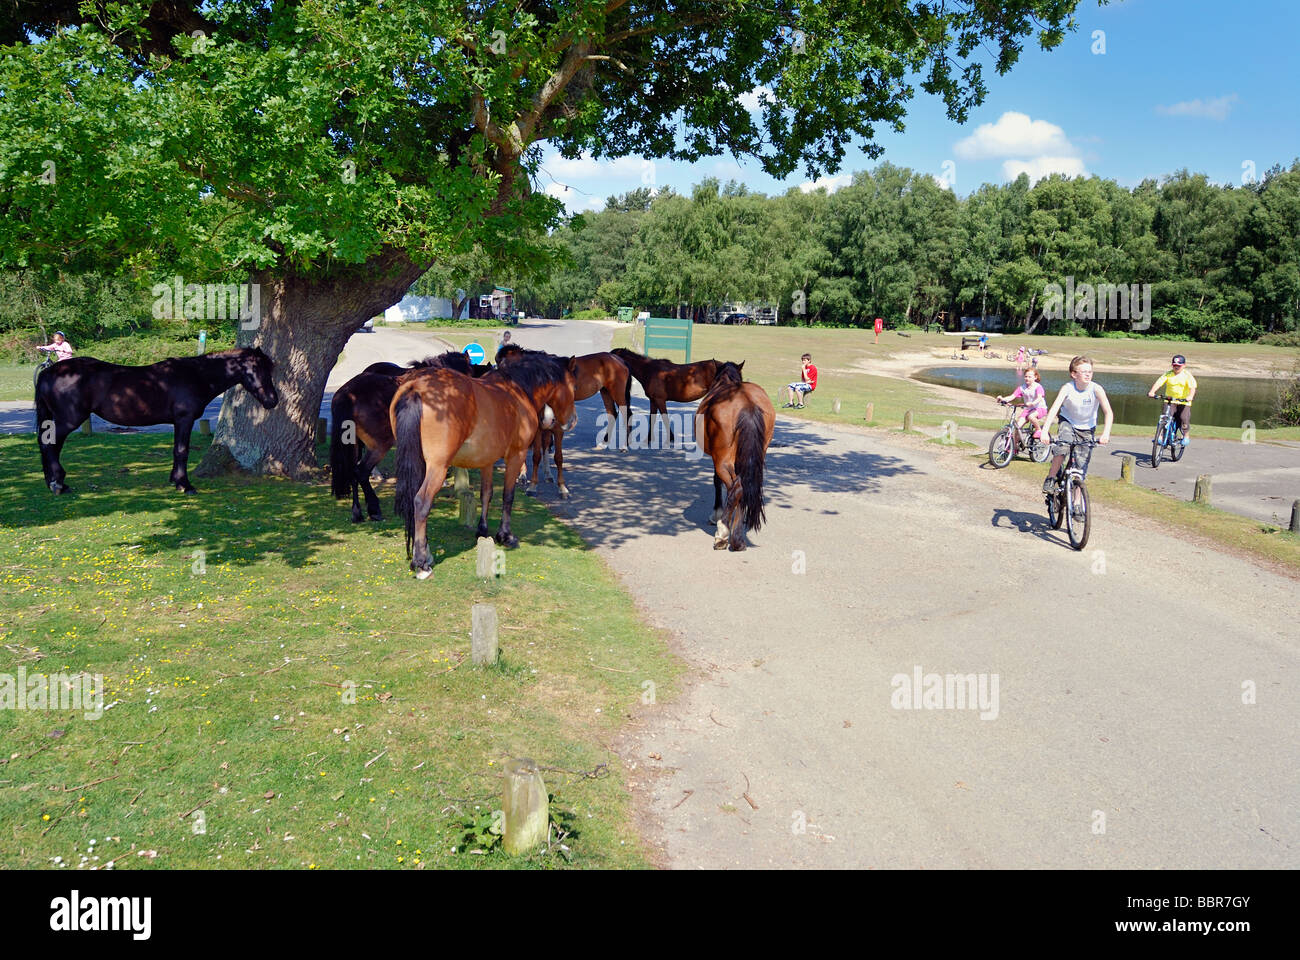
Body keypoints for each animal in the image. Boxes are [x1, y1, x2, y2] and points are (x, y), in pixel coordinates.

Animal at [35, 346, 276, 494]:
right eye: (257, 368)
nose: (272, 400)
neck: (196, 376)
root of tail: (49, 372)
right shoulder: (184, 420)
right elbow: (182, 451)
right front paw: (185, 485)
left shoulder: (179, 422)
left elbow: (177, 451)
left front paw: (175, 480)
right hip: (69, 420)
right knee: (49, 444)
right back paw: (57, 484)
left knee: (49, 445)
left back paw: (56, 482)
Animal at [327, 348, 470, 520]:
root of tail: (348, 394)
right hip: (380, 445)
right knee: (361, 472)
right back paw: (374, 510)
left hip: (353, 443)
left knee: (353, 471)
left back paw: (357, 512)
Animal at [387, 351, 577, 574]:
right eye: (573, 387)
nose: (570, 421)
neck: (516, 389)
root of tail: (417, 387)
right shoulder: (517, 455)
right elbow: (508, 496)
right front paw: (505, 536)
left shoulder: (488, 460)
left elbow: (486, 493)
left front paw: (482, 529)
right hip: (437, 468)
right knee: (421, 502)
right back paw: (421, 561)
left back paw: (426, 553)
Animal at [696, 359, 774, 548]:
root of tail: (748, 403)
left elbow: (717, 481)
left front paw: (717, 514)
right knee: (742, 486)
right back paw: (737, 539)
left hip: (722, 460)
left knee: (736, 487)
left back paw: (723, 533)